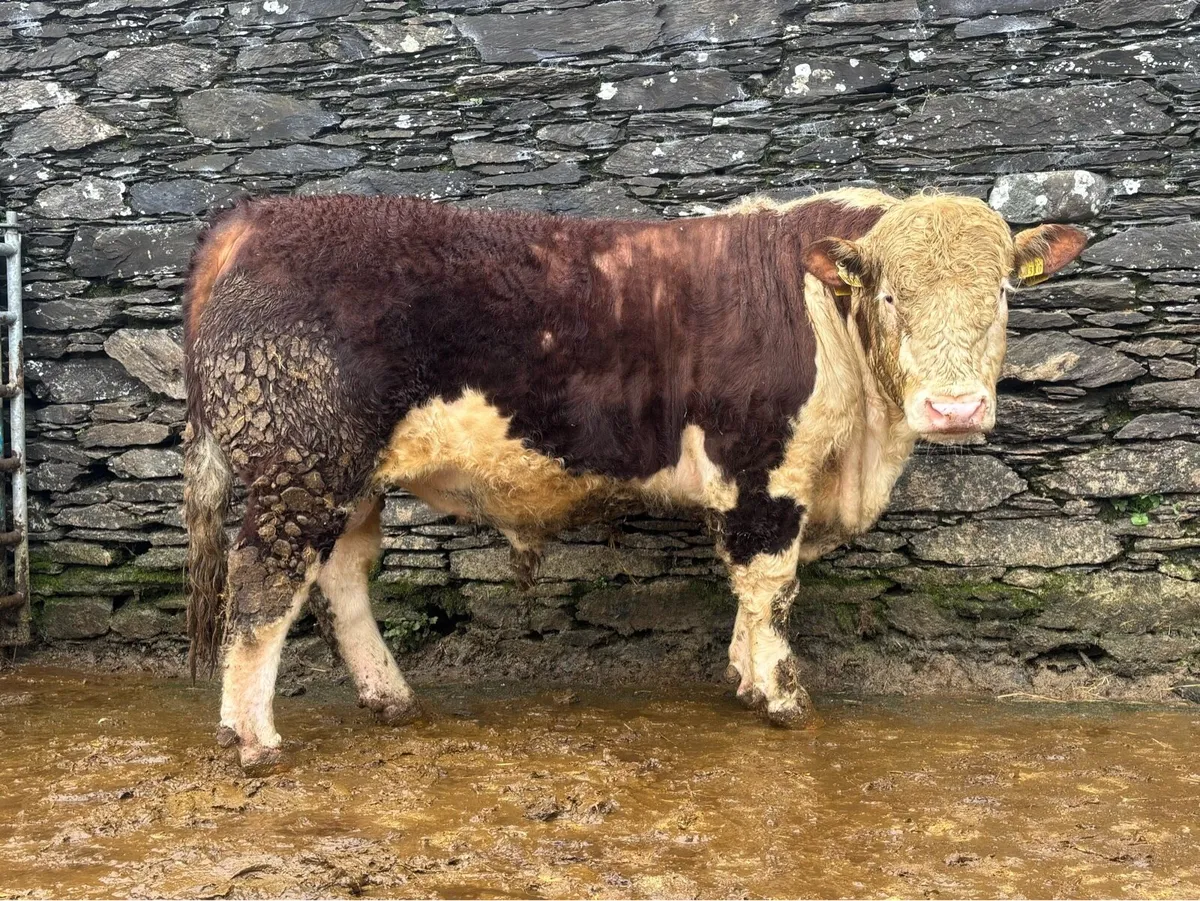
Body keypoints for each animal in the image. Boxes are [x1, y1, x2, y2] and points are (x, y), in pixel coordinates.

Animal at [182, 187, 1087, 768]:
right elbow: (771, 583)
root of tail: (251, 220)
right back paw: (253, 741)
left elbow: (748, 588)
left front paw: (742, 678)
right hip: (299, 462)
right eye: (892, 296)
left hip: (347, 475)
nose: (954, 406)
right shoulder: (764, 467)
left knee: (341, 574)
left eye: (1002, 294)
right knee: (264, 588)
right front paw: (782, 696)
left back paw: (389, 696)